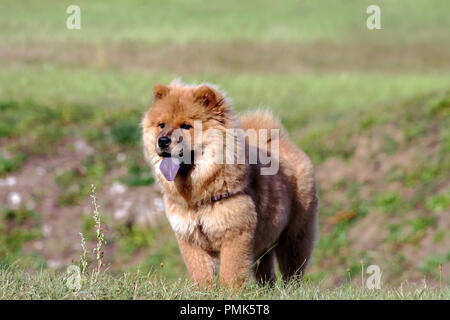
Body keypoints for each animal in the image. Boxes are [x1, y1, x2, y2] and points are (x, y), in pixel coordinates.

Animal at [142, 80, 318, 288]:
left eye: (186, 126)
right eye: (161, 125)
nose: (162, 140)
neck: (197, 196)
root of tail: (284, 142)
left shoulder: (235, 235)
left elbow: (230, 274)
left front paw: (229, 291)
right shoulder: (191, 239)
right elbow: (201, 273)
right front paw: (204, 291)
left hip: (294, 234)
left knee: (293, 269)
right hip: (264, 241)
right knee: (266, 272)